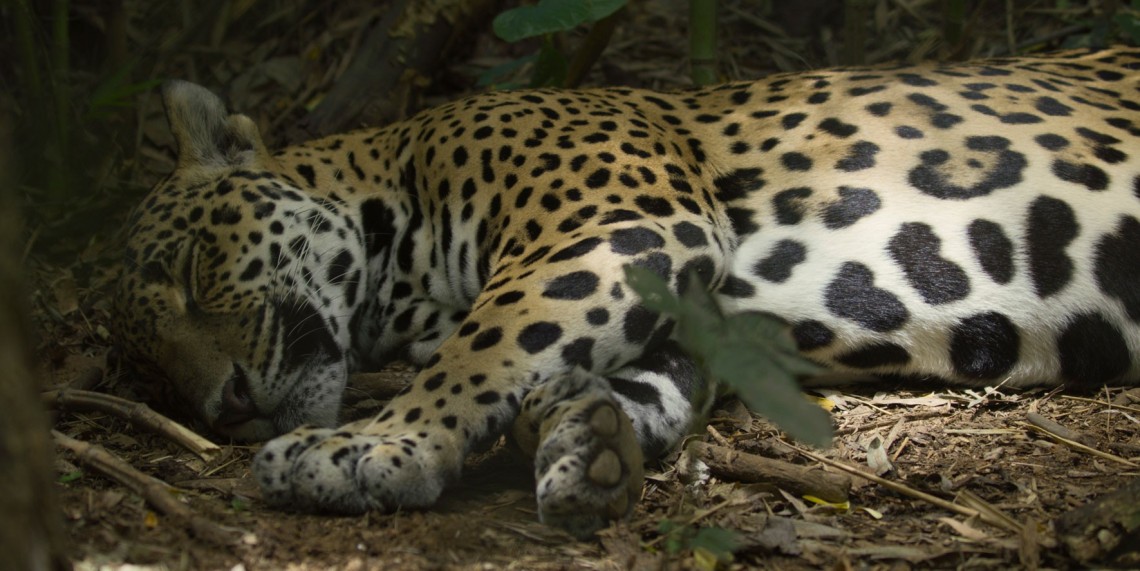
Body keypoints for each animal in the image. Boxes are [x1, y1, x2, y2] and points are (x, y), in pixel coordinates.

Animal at [113, 48, 1140, 538]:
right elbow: (630, 378)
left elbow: (484, 346)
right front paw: (588, 439)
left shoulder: (619, 227)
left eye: (196, 271)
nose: (226, 405)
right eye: (154, 374)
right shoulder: (698, 314)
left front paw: (373, 446)